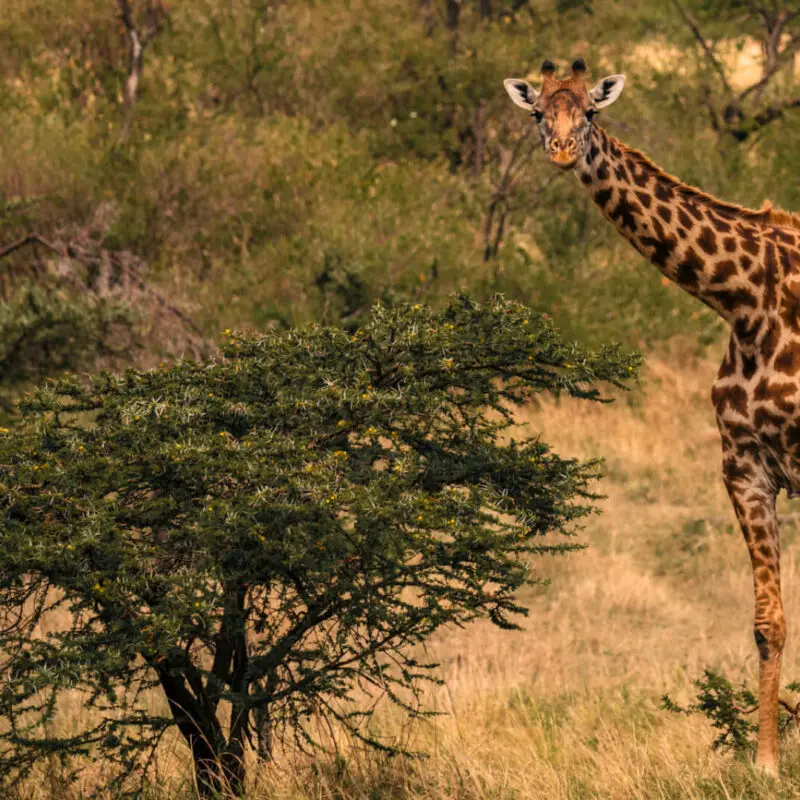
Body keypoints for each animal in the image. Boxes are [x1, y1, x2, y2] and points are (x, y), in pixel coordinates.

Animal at [504, 58, 800, 776]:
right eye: (538, 113)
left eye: (590, 112)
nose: (562, 150)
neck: (745, 301)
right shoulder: (746, 468)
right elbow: (767, 623)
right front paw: (766, 762)